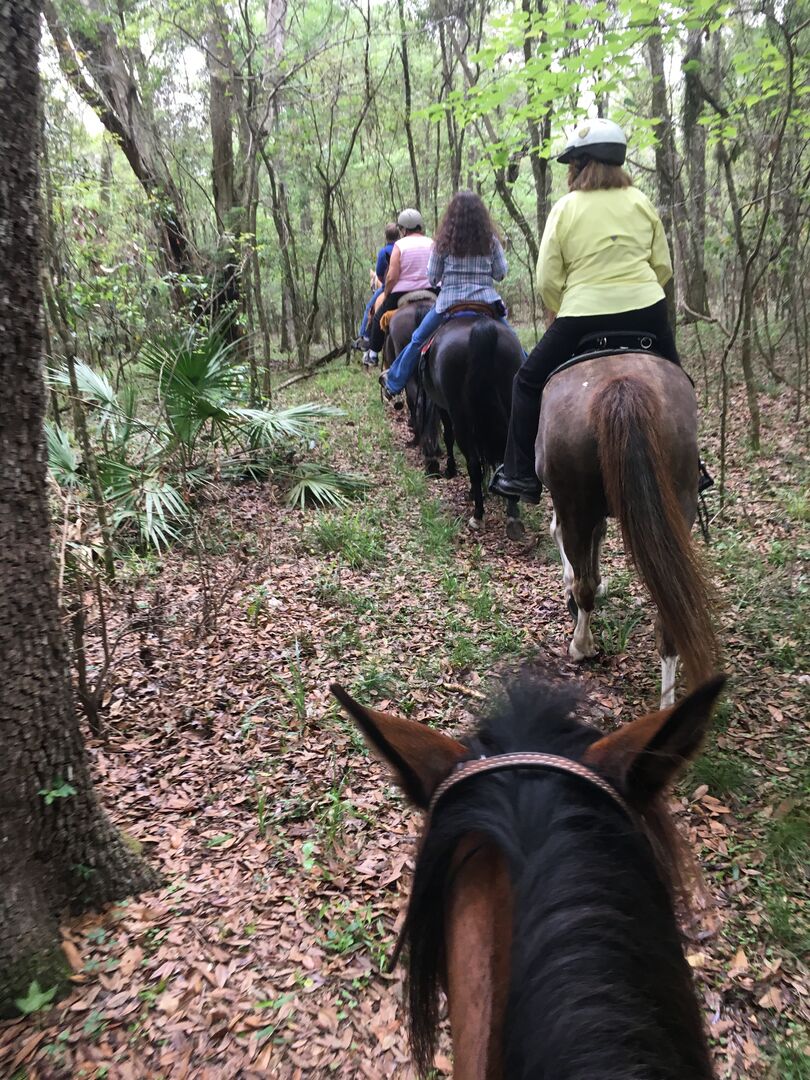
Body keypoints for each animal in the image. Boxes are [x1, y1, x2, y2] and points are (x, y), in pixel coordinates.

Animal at [419, 315, 527, 540]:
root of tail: (481, 328)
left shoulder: (444, 408)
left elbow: (448, 436)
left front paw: (451, 469)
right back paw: (512, 516)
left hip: (460, 416)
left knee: (473, 464)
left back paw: (477, 514)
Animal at [540, 354, 717, 708]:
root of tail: (621, 385)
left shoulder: (571, 510)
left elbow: (564, 541)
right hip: (679, 505)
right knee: (669, 613)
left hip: (576, 505)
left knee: (583, 585)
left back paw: (581, 646)